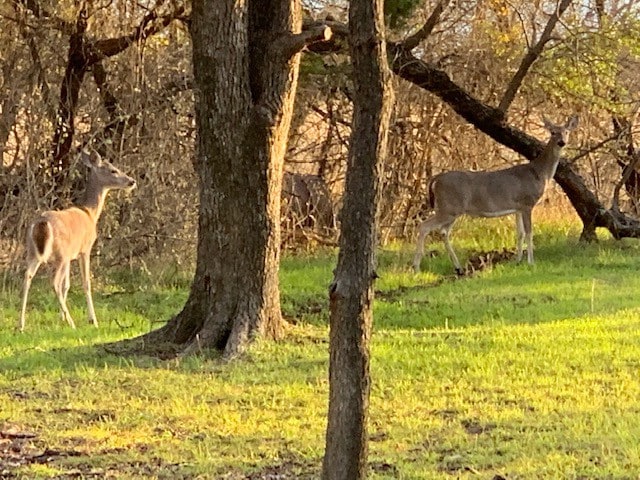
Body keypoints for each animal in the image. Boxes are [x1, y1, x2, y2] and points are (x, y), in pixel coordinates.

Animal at [19, 152, 136, 332]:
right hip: (60, 254)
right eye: (113, 170)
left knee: (28, 277)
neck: (90, 213)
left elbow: (67, 285)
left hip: (33, 251)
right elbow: (85, 283)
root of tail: (42, 222)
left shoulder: (70, 256)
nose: (132, 181)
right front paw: (92, 320)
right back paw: (72, 323)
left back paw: (21, 324)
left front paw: (61, 318)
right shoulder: (84, 249)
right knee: (53, 282)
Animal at [412, 113, 576, 274]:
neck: (540, 173)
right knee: (424, 226)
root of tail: (436, 178)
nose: (562, 142)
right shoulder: (527, 203)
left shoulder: (517, 208)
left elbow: (520, 233)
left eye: (567, 132)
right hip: (448, 207)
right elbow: (529, 232)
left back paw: (458, 268)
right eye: (553, 132)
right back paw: (416, 267)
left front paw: (518, 261)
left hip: (450, 209)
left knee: (443, 231)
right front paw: (531, 262)